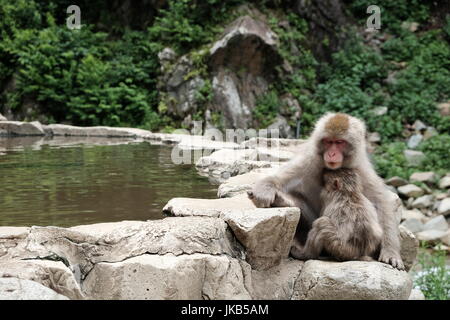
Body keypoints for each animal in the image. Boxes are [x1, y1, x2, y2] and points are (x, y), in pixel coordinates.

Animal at [246, 112, 404, 270]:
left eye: (339, 142)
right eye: (328, 141)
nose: (332, 154)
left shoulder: (361, 169)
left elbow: (381, 202)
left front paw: (391, 252)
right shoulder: (310, 161)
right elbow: (278, 179)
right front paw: (265, 190)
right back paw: (283, 202)